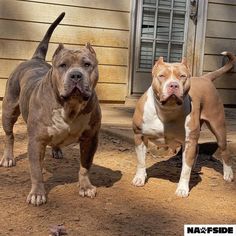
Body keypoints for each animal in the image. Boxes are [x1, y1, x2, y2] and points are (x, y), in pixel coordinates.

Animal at [132, 52, 235, 196]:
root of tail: (205, 78)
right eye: (161, 76)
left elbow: (185, 170)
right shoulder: (139, 136)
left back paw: (228, 173)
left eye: (182, 76)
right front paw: (139, 178)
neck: (166, 110)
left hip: (218, 126)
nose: (173, 85)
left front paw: (182, 188)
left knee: (224, 150)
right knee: (197, 149)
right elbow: (141, 161)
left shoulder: (189, 141)